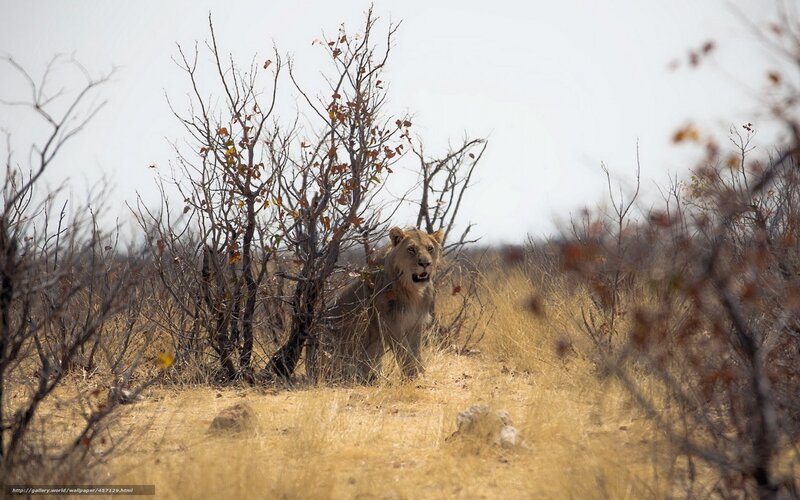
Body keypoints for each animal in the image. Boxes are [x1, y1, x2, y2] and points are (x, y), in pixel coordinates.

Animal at [318, 226, 444, 383]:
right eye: (411, 249)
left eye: (430, 248)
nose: (425, 264)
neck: (413, 291)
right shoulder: (389, 323)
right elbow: (406, 354)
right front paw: (414, 377)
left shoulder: (415, 323)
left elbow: (416, 353)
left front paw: (421, 375)